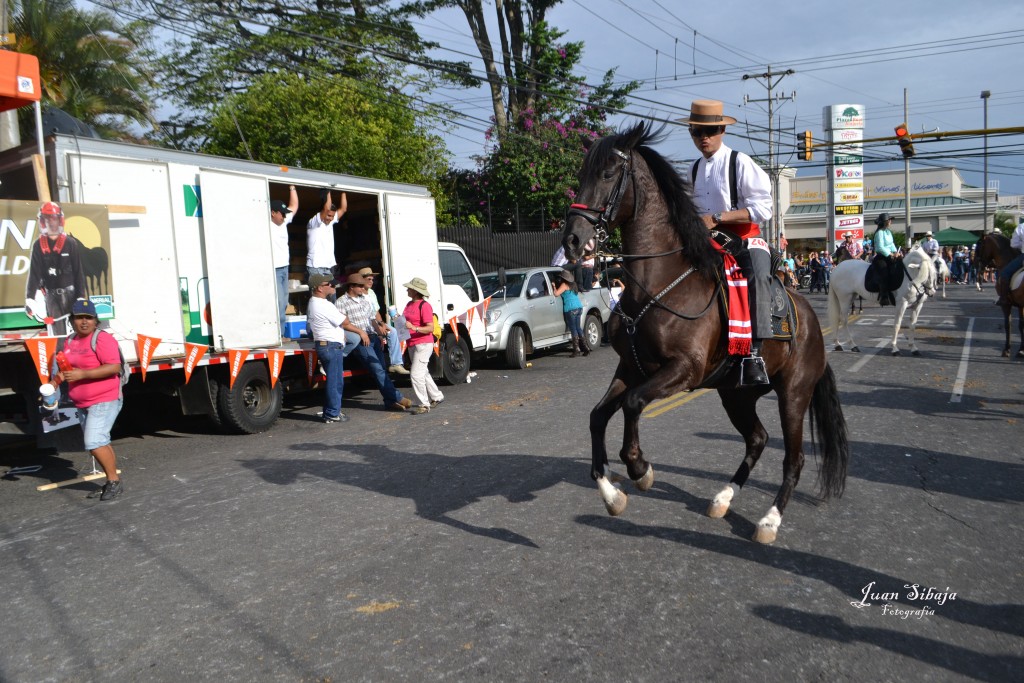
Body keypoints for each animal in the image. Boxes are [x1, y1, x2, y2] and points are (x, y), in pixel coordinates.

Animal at [561, 122, 847, 544]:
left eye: (609, 173)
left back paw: (769, 520)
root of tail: (812, 321)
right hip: (736, 394)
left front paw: (639, 469)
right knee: (757, 439)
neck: (658, 282)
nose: (573, 240)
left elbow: (632, 403)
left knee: (792, 459)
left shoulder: (683, 370)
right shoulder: (631, 367)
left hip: (793, 394)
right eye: (581, 175)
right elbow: (599, 416)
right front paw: (611, 493)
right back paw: (723, 498)